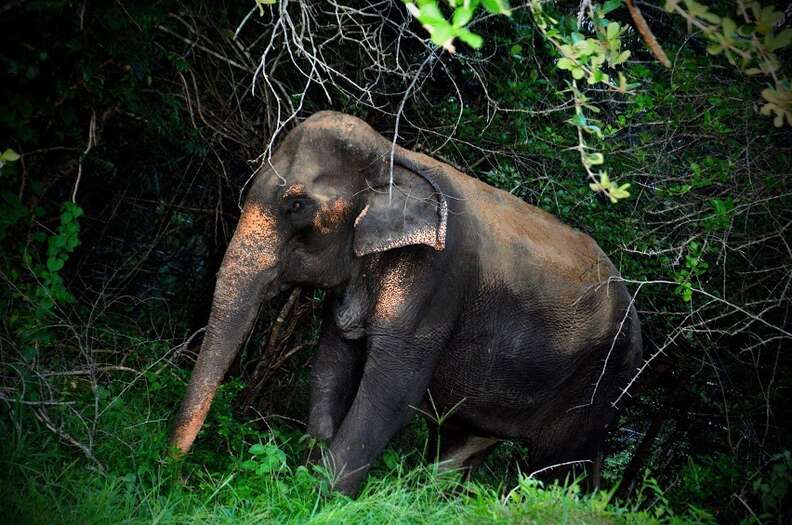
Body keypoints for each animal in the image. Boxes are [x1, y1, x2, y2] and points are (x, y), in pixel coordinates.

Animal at [169, 110, 644, 496]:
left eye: (298, 204)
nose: (173, 467)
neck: (393, 153)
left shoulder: (436, 277)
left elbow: (395, 387)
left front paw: (322, 498)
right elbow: (331, 365)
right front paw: (307, 477)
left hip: (598, 383)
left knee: (558, 467)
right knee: (463, 441)